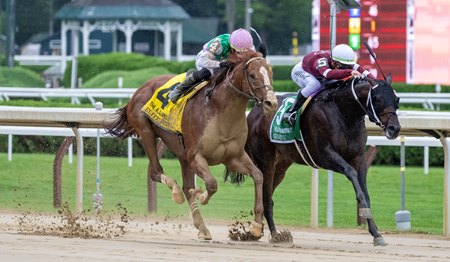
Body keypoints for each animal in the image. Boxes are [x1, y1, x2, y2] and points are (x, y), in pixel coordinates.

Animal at [105, 50, 278, 241]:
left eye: (271, 74)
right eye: (253, 75)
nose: (271, 103)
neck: (219, 111)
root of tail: (140, 88)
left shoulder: (233, 157)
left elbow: (258, 175)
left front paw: (256, 226)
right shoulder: (196, 157)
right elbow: (211, 184)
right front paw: (201, 196)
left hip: (181, 153)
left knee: (186, 186)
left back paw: (202, 227)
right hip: (146, 132)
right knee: (156, 173)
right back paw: (176, 193)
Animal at [236, 74, 400, 246]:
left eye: (397, 99)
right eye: (377, 99)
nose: (394, 129)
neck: (344, 112)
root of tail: (253, 112)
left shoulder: (359, 157)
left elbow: (366, 193)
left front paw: (376, 233)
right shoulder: (324, 155)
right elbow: (351, 173)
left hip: (281, 166)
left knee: (267, 194)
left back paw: (259, 229)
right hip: (265, 161)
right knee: (266, 197)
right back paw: (273, 234)